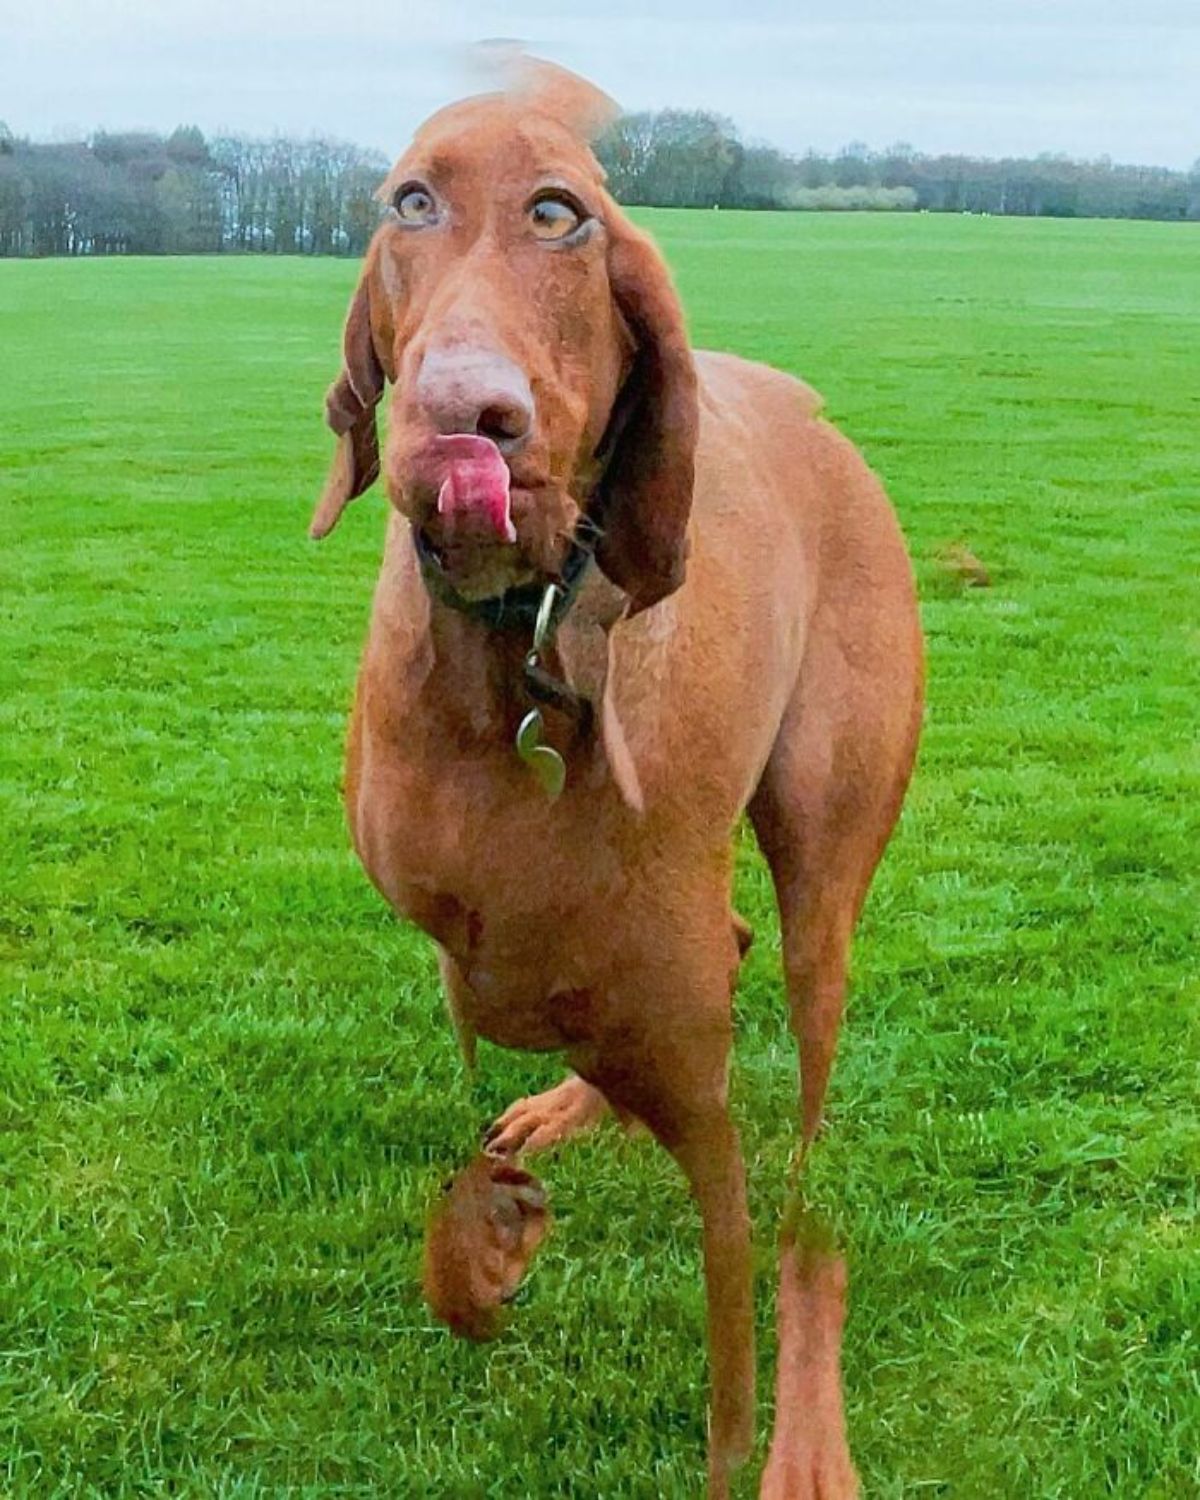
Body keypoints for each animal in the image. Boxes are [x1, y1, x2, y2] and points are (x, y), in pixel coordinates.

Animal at [307, 58, 918, 1500]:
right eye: (410, 201)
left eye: (560, 215)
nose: (464, 419)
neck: (517, 656)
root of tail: (814, 411)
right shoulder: (473, 949)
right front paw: (488, 1240)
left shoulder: (701, 1093)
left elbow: (746, 1333)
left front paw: (780, 1438)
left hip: (826, 867)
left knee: (809, 1121)